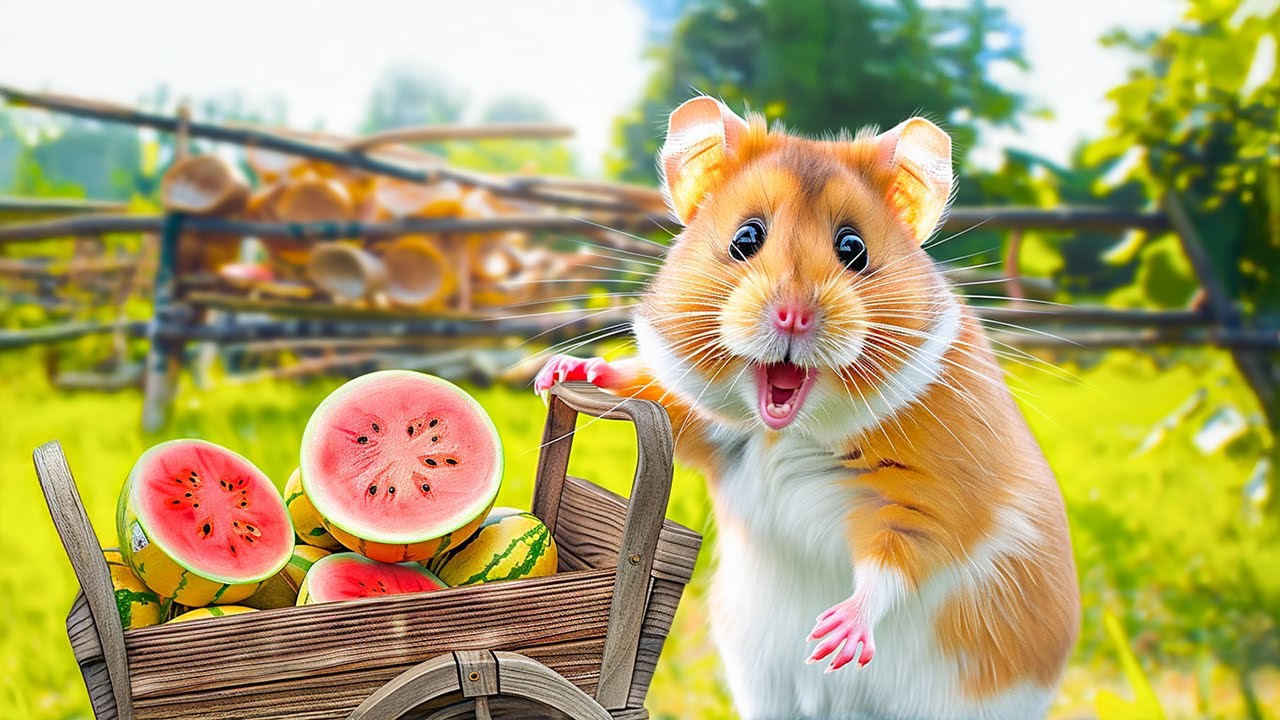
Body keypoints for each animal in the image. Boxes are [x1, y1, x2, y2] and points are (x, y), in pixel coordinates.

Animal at [535, 96, 1080, 720]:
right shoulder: (703, 425)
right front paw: (560, 373)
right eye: (746, 237)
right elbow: (649, 392)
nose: (793, 316)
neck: (789, 429)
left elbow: (894, 560)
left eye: (854, 248)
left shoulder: (935, 499)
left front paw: (831, 642)